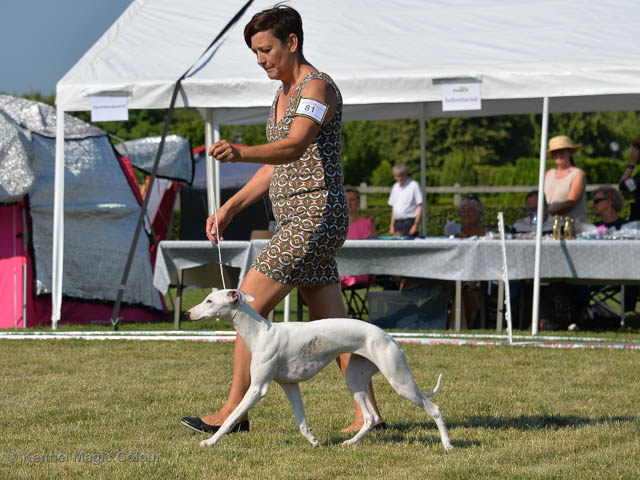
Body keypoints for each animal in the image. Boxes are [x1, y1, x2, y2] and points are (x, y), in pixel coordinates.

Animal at [187, 289, 452, 450]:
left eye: (209, 301)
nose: (188, 312)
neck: (262, 333)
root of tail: (388, 336)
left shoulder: (257, 389)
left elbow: (231, 418)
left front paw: (210, 441)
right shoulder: (290, 385)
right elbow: (302, 422)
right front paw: (314, 442)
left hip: (399, 380)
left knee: (434, 409)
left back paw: (448, 444)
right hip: (354, 379)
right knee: (370, 417)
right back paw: (350, 442)